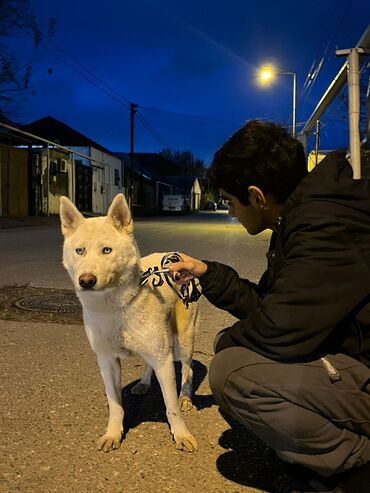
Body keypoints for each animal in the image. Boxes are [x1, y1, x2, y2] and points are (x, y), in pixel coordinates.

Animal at [60, 191, 199, 450]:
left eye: (106, 250)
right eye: (80, 251)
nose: (86, 280)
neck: (115, 307)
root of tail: (175, 254)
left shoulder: (163, 360)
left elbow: (171, 407)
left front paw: (181, 433)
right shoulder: (107, 361)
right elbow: (115, 405)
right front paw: (113, 433)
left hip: (185, 338)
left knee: (188, 368)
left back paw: (186, 396)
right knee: (149, 364)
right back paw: (144, 383)